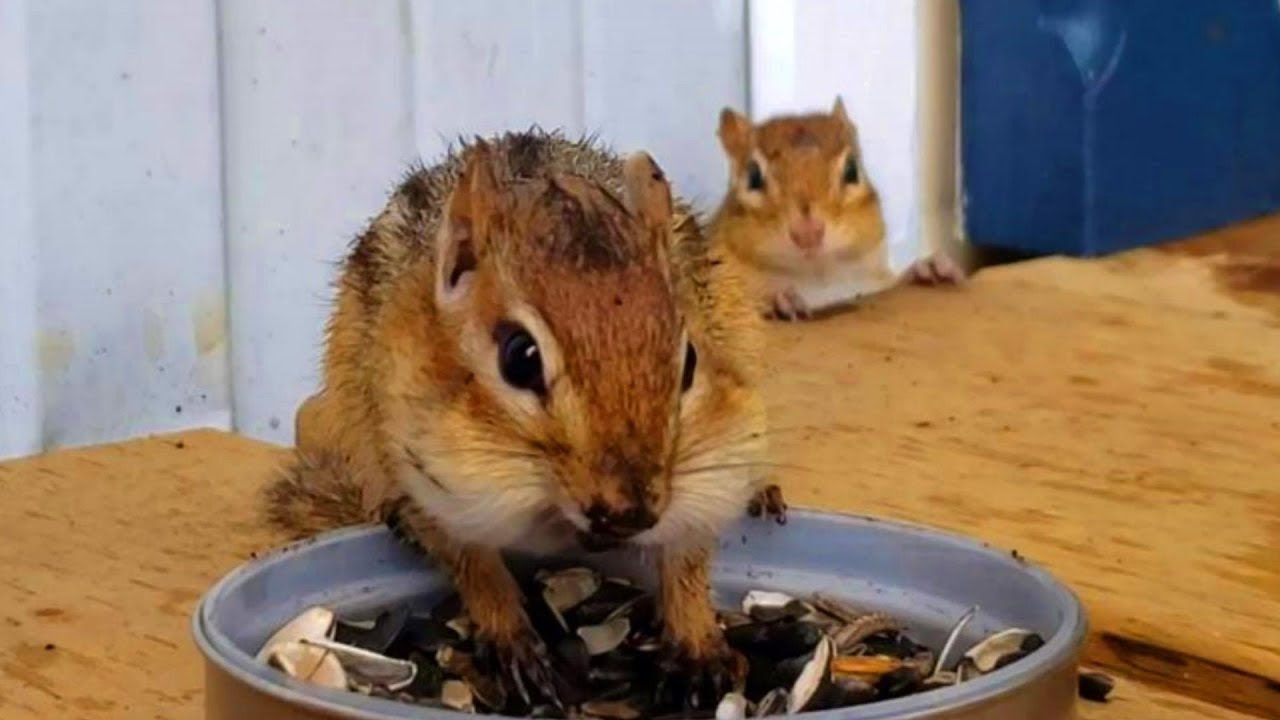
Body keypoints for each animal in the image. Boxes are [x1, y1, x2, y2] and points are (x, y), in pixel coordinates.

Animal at [263, 130, 785, 704]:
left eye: (690, 360)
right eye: (520, 357)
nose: (628, 512)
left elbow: (688, 556)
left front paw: (696, 645)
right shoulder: (417, 461)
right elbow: (472, 563)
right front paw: (514, 643)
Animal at [712, 98, 964, 320]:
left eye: (852, 170)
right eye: (753, 177)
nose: (808, 233)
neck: (818, 279)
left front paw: (930, 268)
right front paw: (778, 300)